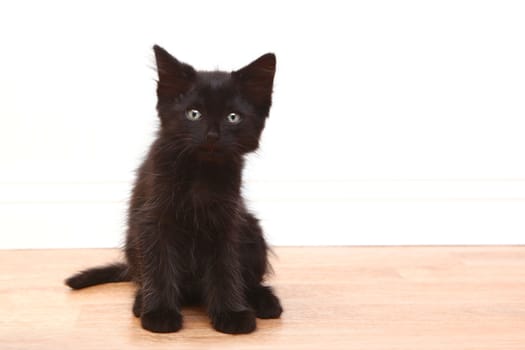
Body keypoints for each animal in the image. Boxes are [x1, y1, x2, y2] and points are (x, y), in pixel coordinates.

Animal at [67, 45, 284, 334]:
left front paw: (231, 313)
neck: (201, 173)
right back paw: (141, 302)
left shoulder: (226, 222)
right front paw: (159, 314)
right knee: (142, 276)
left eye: (233, 118)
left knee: (251, 280)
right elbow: (159, 266)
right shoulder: (152, 220)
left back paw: (265, 301)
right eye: (194, 114)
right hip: (133, 240)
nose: (212, 136)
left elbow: (225, 268)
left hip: (251, 227)